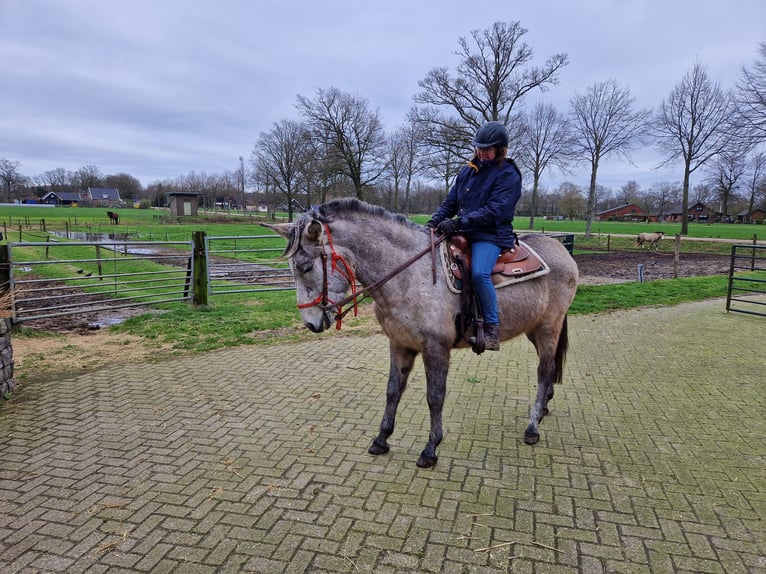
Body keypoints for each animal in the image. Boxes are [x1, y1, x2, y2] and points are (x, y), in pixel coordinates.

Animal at [264, 200, 576, 470]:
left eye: (306, 267)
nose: (310, 324)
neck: (411, 275)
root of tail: (561, 250)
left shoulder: (435, 348)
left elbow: (435, 397)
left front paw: (430, 449)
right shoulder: (400, 344)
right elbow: (393, 391)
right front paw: (381, 440)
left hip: (548, 328)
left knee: (544, 371)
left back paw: (532, 427)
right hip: (534, 329)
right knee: (549, 370)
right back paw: (543, 409)